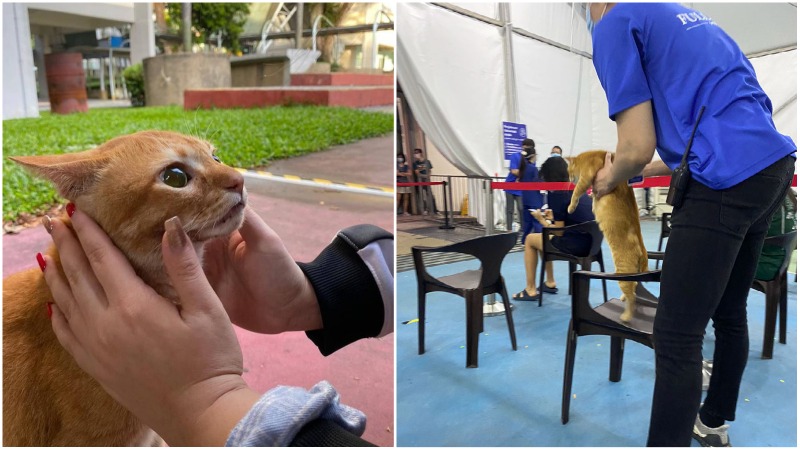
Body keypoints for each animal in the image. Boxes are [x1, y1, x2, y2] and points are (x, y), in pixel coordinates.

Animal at [564, 151, 648, 324]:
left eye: (569, 172)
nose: (568, 179)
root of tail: (643, 251)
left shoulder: (586, 177)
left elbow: (576, 193)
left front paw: (571, 206)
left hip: (623, 275)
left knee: (632, 297)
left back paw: (626, 316)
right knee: (634, 288)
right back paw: (623, 299)